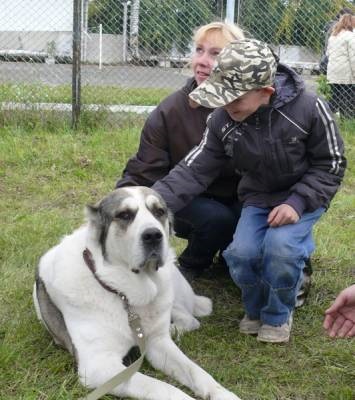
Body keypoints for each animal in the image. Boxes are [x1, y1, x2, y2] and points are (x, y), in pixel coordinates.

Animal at [33, 187, 242, 400]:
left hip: (169, 293)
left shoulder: (159, 344)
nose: (153, 235)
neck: (123, 292)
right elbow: (162, 387)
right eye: (124, 215)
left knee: (189, 320)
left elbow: (195, 371)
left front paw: (223, 394)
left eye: (159, 212)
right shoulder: (99, 366)